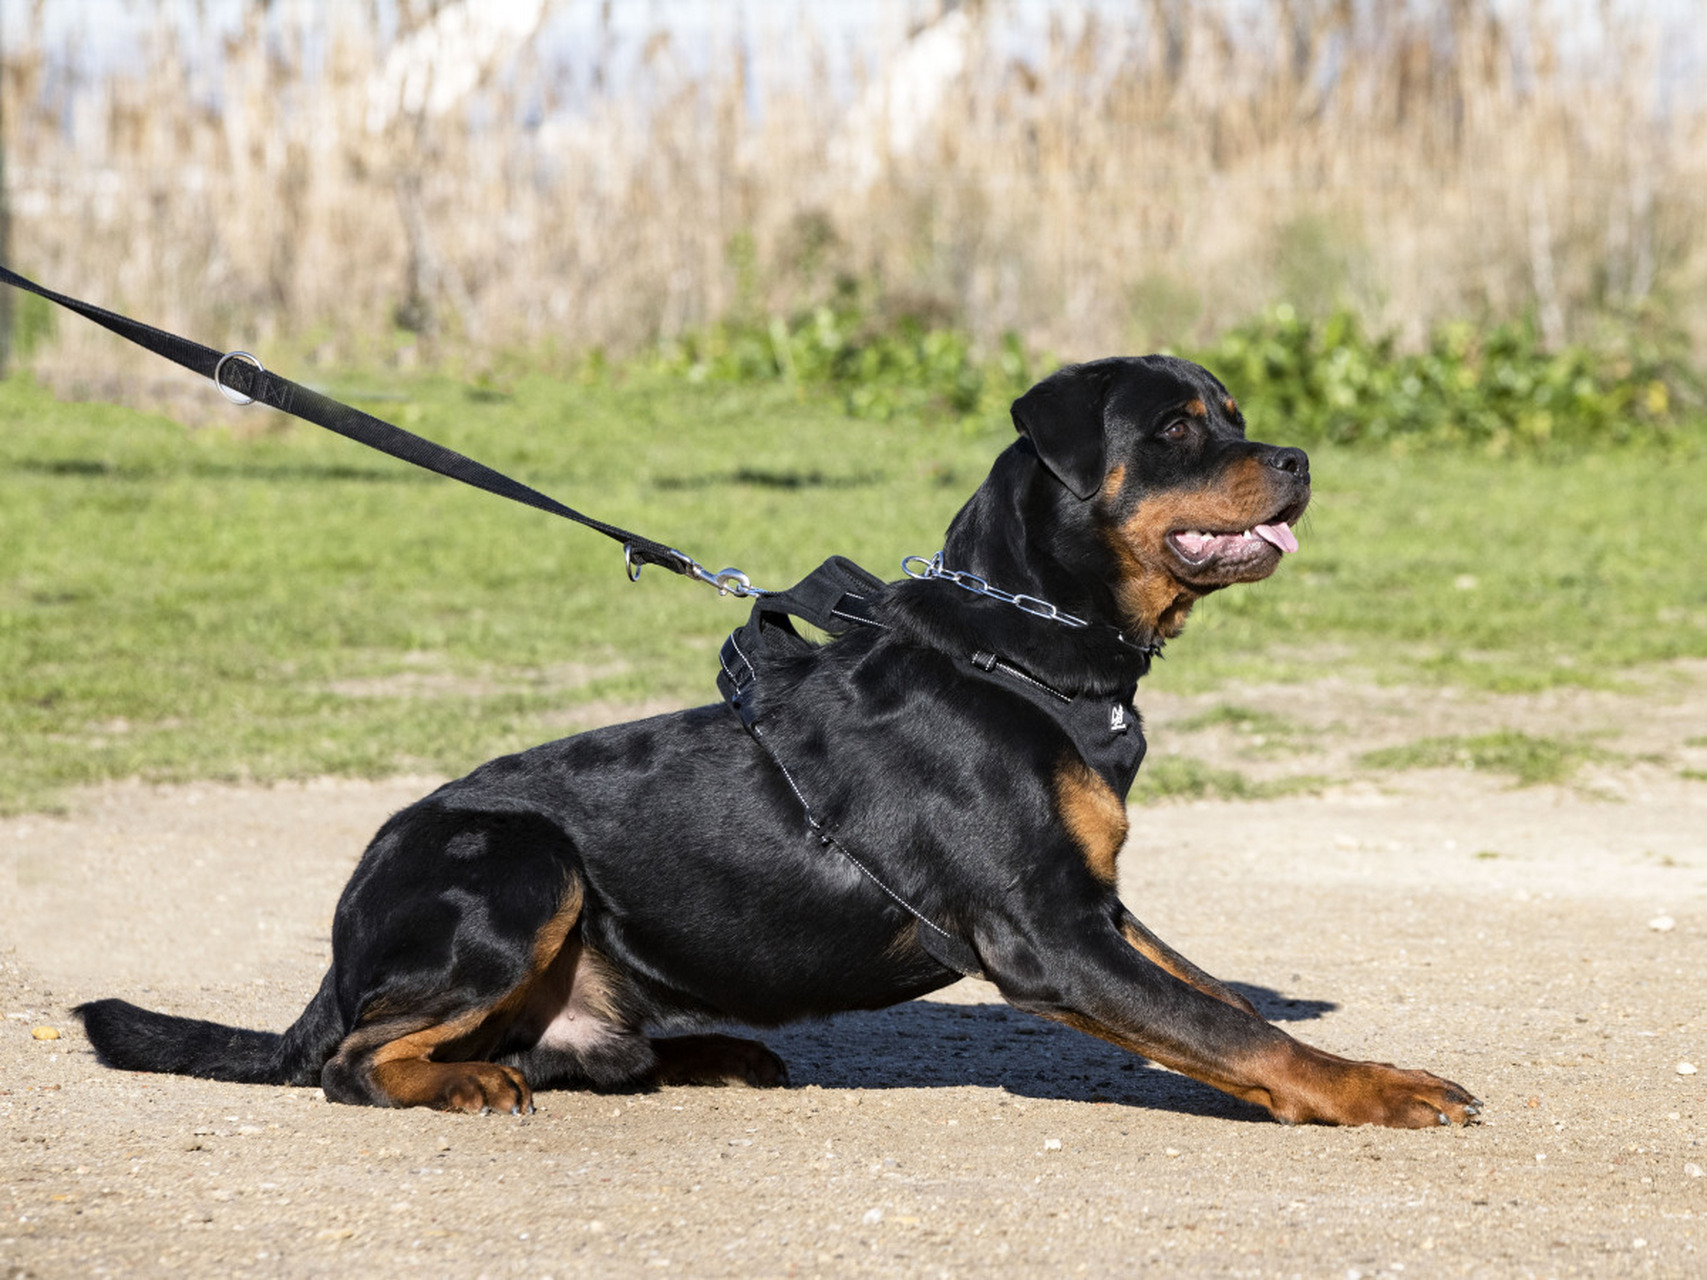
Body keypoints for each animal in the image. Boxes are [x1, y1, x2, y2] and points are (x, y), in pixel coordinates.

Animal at [76, 356, 1481, 1126]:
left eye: (1233, 413)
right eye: (1181, 428)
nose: (1298, 459)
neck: (1020, 652)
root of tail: (340, 937)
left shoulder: (1100, 908)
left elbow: (1216, 1001)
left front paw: (1360, 1063)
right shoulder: (1047, 932)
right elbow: (1234, 1027)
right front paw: (1375, 1090)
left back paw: (709, 1052)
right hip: (518, 864)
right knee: (357, 1058)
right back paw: (459, 1081)